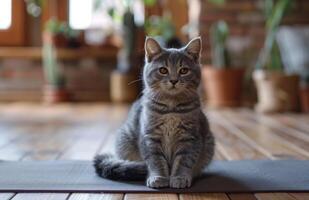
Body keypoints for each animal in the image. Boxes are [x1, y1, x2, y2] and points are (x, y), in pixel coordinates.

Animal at [94, 36, 214, 188]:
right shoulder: (150, 137)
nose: (173, 80)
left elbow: (184, 161)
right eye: (163, 70)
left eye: (183, 70)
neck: (171, 109)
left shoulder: (190, 137)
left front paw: (180, 177)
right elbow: (156, 161)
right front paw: (158, 177)